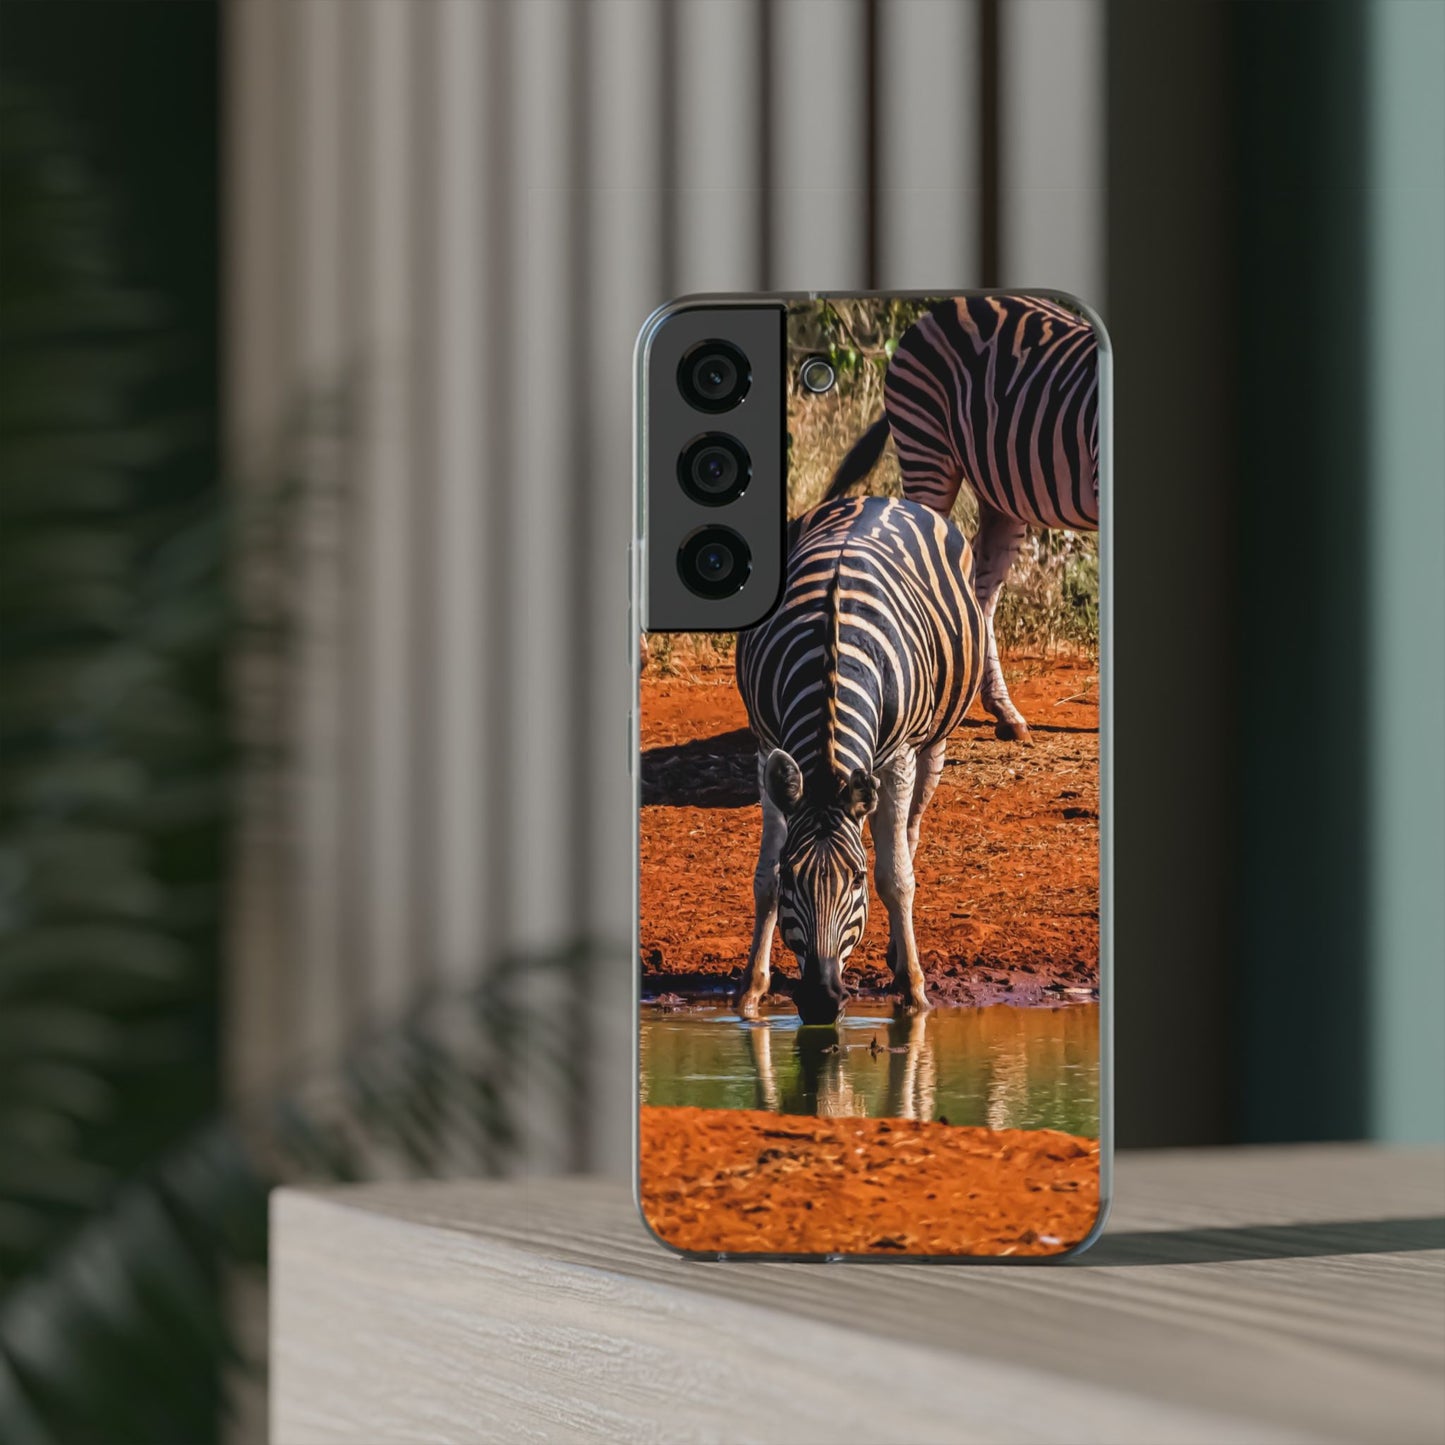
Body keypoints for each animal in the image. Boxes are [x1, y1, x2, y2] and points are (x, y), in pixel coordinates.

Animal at [734, 494, 983, 1024]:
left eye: (857, 879)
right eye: (794, 876)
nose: (821, 1001)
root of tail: (878, 497)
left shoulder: (900, 757)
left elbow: (896, 877)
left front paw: (913, 990)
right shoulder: (766, 746)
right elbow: (764, 878)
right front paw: (750, 991)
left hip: (933, 742)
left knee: (909, 834)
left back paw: (898, 952)